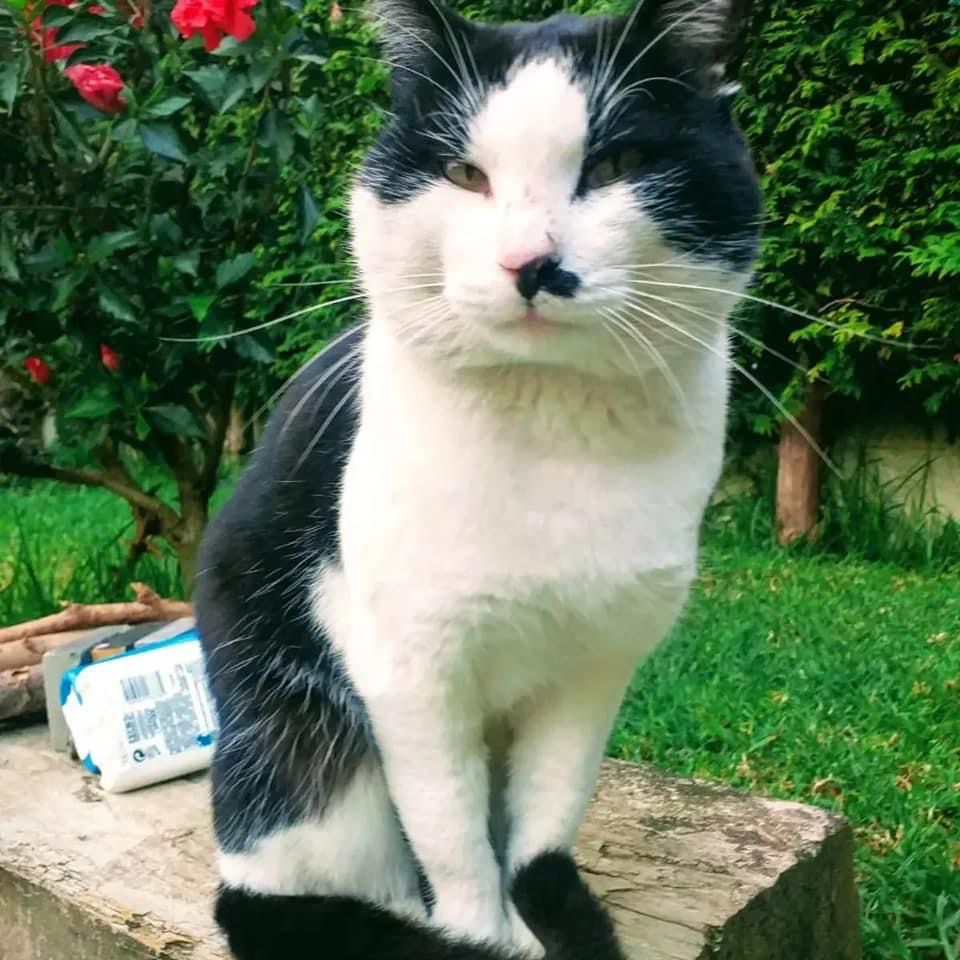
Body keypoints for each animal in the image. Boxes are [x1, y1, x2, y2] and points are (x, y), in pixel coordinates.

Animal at [195, 0, 761, 957]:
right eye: (464, 174)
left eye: (617, 164)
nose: (529, 262)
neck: (551, 428)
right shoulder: (408, 672)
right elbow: (452, 839)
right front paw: (486, 934)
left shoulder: (594, 668)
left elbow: (545, 818)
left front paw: (535, 913)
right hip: (299, 744)